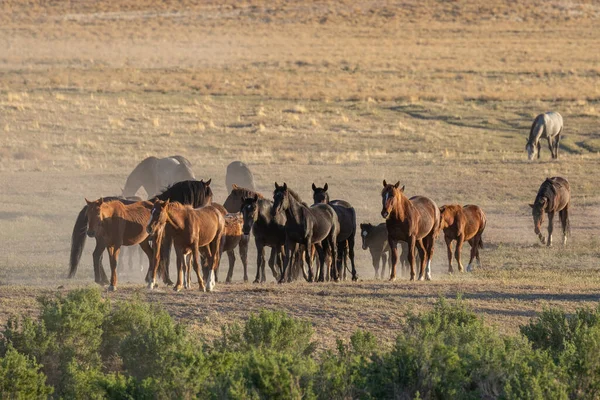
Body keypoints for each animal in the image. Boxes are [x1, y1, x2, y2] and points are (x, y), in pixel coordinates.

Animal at [70, 180, 213, 286]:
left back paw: (103, 279)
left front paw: (151, 278)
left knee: (98, 257)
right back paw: (102, 280)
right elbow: (164, 258)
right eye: (210, 196)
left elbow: (155, 256)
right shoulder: (166, 239)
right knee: (97, 256)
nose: (209, 210)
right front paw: (166, 280)